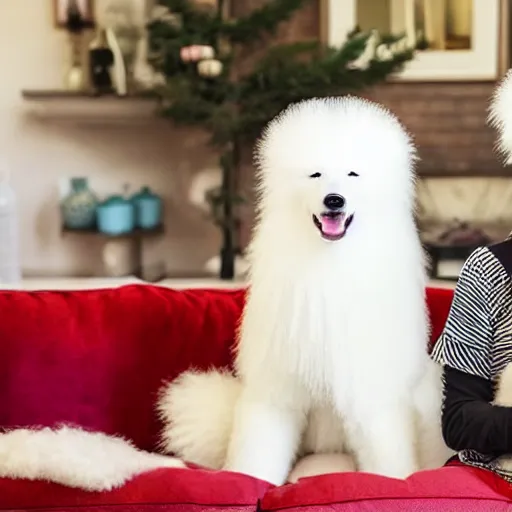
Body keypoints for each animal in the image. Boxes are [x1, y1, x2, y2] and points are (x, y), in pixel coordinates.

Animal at [159, 96, 452, 484]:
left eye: (353, 174)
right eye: (315, 174)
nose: (334, 200)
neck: (328, 262)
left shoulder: (371, 389)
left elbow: (386, 450)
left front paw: (397, 479)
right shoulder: (278, 384)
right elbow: (259, 447)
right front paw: (246, 479)